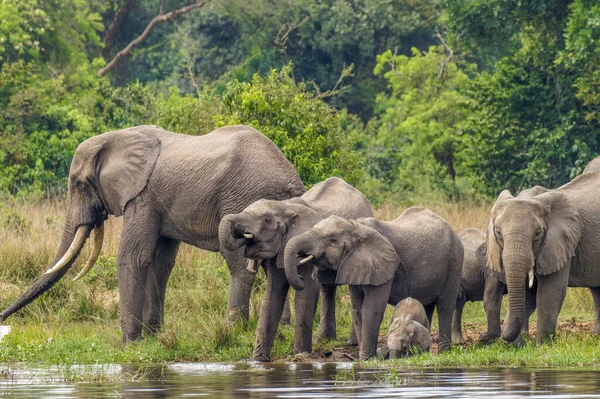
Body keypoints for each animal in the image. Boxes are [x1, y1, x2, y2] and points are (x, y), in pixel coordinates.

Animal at [0, 126, 304, 344]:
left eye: (78, 183)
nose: (3, 318)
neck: (118, 136)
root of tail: (290, 178)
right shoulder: (158, 203)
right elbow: (161, 263)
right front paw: (153, 335)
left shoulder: (142, 197)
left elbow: (133, 256)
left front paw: (129, 342)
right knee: (271, 264)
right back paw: (282, 329)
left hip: (242, 199)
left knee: (239, 262)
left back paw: (233, 328)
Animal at [218, 178, 372, 362]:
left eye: (267, 220)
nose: (299, 277)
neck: (285, 207)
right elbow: (272, 296)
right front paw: (259, 360)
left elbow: (306, 294)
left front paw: (301, 355)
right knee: (327, 289)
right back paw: (324, 340)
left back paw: (352, 343)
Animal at [284, 208, 464, 360]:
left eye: (332, 240)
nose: (300, 278)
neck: (356, 227)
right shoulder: (355, 264)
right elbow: (357, 309)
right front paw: (365, 359)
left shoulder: (384, 265)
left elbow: (371, 308)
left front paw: (366, 359)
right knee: (427, 307)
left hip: (454, 260)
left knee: (445, 306)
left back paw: (444, 353)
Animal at [482, 162, 600, 344]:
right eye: (498, 232)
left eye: (538, 233)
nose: (483, 337)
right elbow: (527, 295)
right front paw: (516, 345)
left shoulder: (560, 242)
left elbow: (550, 292)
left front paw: (543, 344)